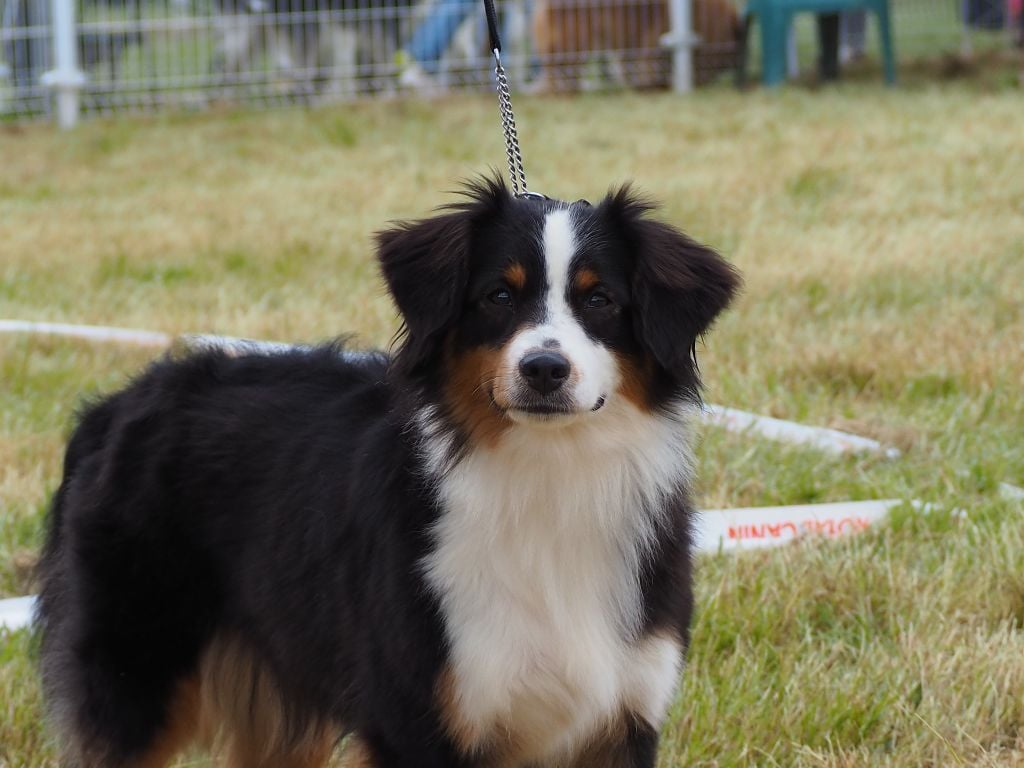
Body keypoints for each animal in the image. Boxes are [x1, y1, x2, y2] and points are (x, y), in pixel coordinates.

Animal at [37, 176, 737, 768]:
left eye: (601, 299)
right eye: (498, 295)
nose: (544, 369)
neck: (549, 477)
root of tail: (117, 402)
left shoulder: (622, 715)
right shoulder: (417, 718)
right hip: (134, 674)